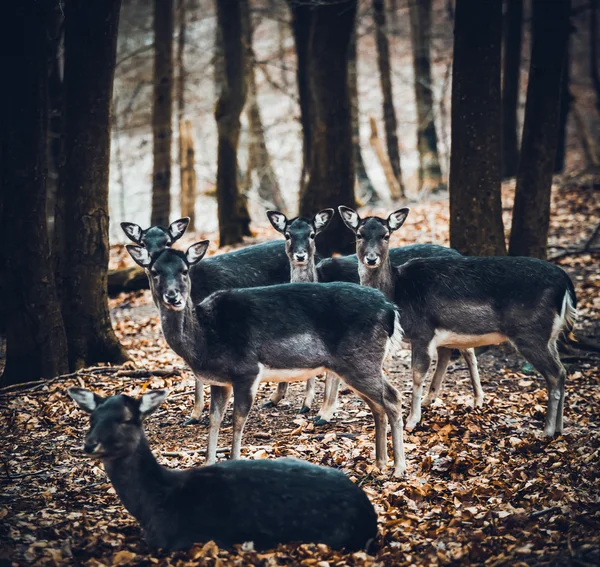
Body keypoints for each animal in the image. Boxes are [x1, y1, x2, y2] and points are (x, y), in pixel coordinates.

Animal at [65, 388, 376, 552]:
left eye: (126, 419)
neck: (155, 504)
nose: (90, 445)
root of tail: (370, 515)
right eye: (92, 418)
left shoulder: (173, 540)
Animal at [126, 242, 408, 478]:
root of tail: (390, 310)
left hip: (361, 360)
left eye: (185, 271)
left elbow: (237, 421)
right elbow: (214, 420)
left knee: (393, 398)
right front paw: (208, 463)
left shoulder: (246, 370)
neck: (205, 338)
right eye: (154, 271)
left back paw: (399, 469)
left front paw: (233, 462)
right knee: (377, 405)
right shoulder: (220, 381)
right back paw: (380, 462)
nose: (173, 297)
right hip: (355, 365)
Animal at [338, 206, 576, 438]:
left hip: (531, 333)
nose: (371, 259)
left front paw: (412, 421)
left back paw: (546, 431)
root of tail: (565, 284)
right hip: (550, 336)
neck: (398, 292)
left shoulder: (423, 331)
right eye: (359, 234)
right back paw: (560, 428)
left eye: (386, 235)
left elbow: (417, 374)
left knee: (554, 374)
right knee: (562, 371)